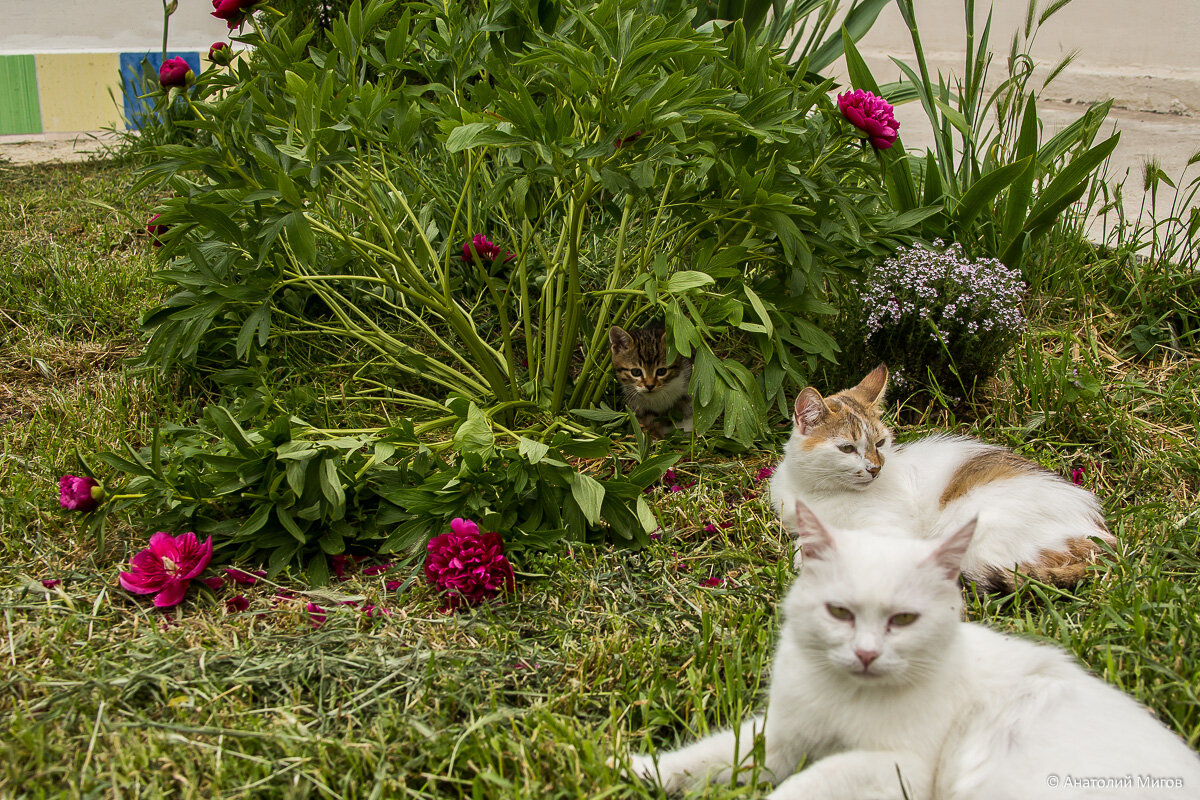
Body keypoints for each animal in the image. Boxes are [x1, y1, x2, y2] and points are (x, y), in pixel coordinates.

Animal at [768, 367, 1113, 592]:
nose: (875, 468)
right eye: (847, 448)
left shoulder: (892, 530)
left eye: (880, 443)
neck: (820, 493)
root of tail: (1097, 534)